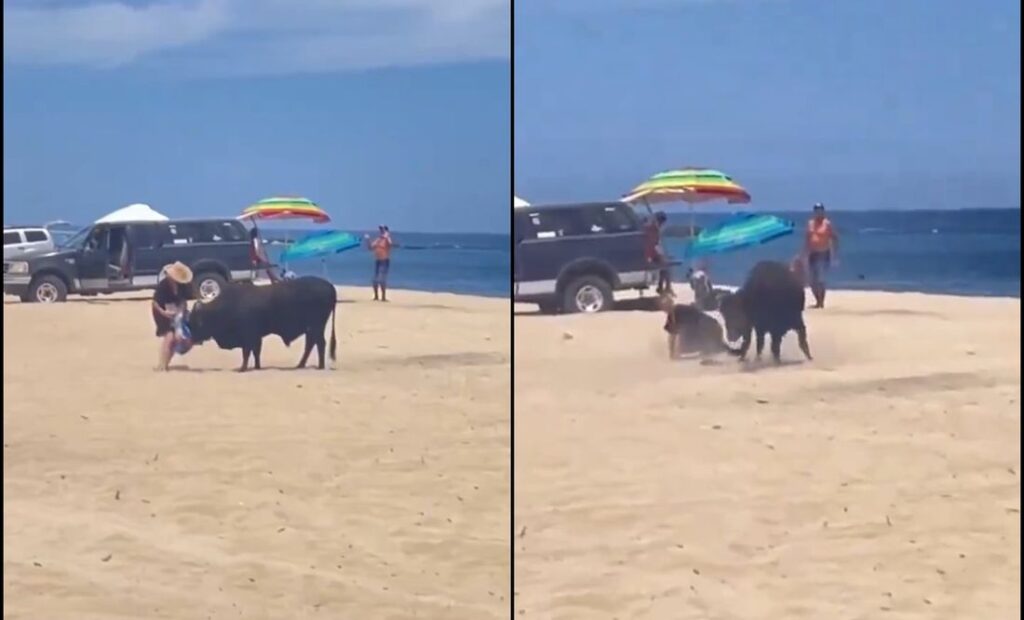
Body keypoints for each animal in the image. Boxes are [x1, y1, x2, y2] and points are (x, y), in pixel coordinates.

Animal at [188, 276, 339, 373]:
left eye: (195, 322)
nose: (191, 339)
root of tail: (330, 287)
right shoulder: (256, 337)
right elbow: (256, 352)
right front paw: (257, 367)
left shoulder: (248, 337)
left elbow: (247, 353)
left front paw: (242, 369)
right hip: (312, 329)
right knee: (311, 344)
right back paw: (301, 365)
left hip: (316, 327)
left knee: (319, 343)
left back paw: (319, 366)